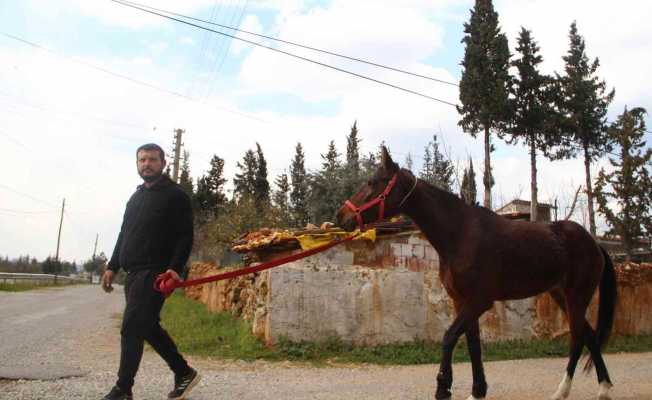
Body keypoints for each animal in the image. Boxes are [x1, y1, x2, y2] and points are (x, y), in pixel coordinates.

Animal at [336, 148, 616, 400]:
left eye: (372, 182)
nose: (341, 216)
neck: (461, 233)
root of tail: (594, 243)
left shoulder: (479, 302)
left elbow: (449, 337)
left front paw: (443, 388)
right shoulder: (462, 301)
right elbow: (473, 345)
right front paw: (477, 391)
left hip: (576, 296)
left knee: (578, 338)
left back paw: (564, 391)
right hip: (561, 295)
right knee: (589, 335)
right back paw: (602, 388)